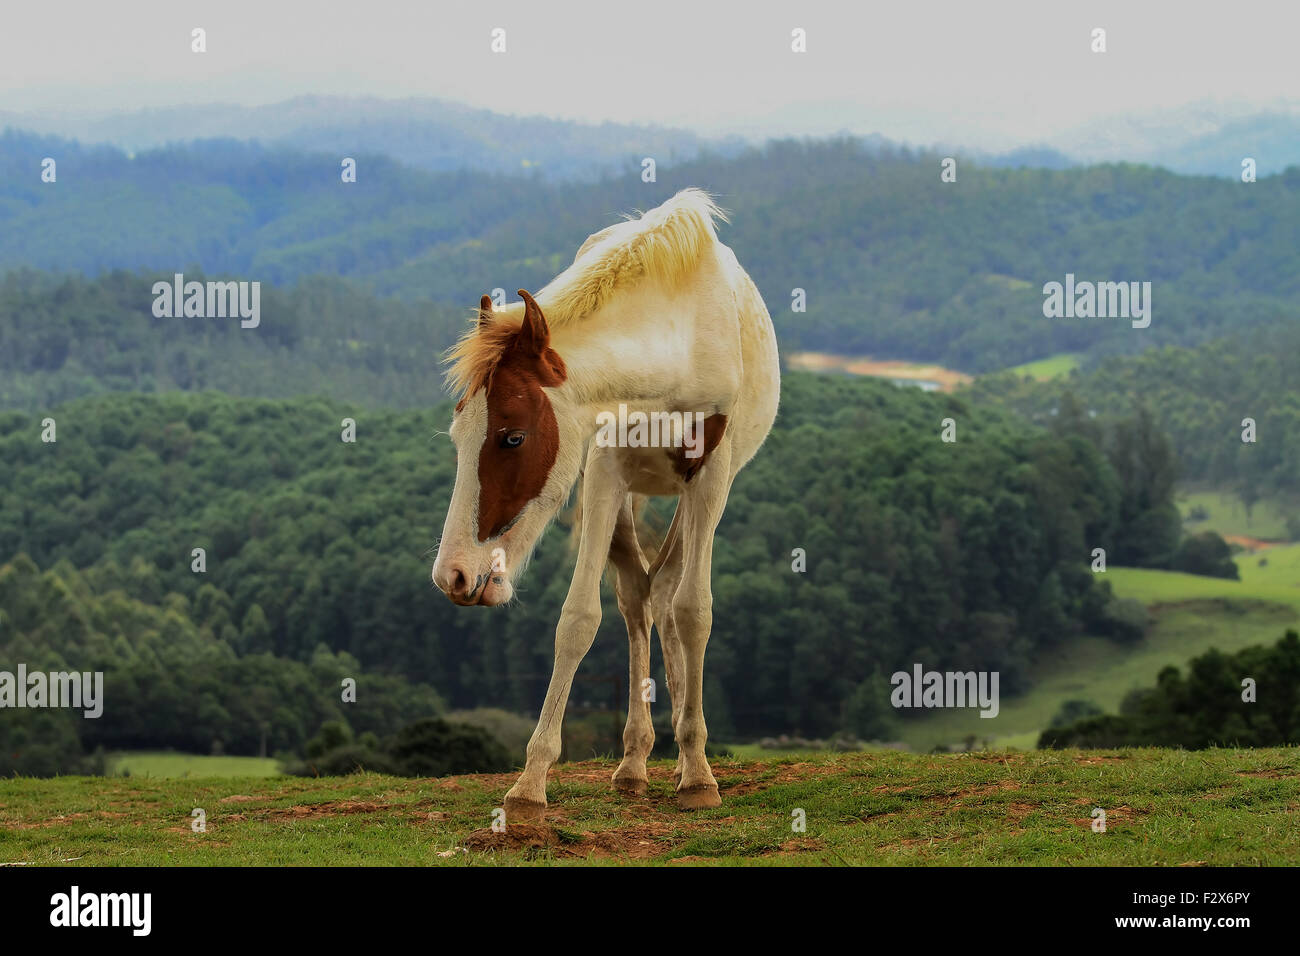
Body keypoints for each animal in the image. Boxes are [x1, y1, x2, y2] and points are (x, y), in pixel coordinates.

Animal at [434, 191, 780, 816]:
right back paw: (636, 761)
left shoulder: (711, 475)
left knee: (667, 593)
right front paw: (530, 784)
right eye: (458, 436)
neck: (677, 335)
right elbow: (578, 619)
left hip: (694, 499)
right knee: (640, 596)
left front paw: (699, 775)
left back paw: (681, 755)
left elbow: (695, 611)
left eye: (512, 437)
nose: (455, 576)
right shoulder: (603, 466)